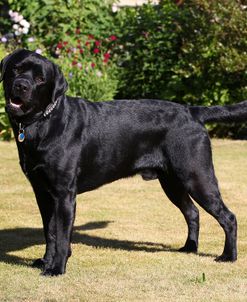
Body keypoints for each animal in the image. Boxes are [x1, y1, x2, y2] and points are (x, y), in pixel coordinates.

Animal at [0, 49, 246, 276]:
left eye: (41, 79)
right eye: (16, 69)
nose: (21, 86)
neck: (43, 122)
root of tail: (192, 111)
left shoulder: (64, 194)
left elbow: (61, 235)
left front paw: (57, 268)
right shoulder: (42, 192)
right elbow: (49, 231)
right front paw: (45, 261)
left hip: (196, 176)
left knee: (228, 217)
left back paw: (228, 256)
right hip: (172, 182)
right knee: (192, 212)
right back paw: (189, 247)